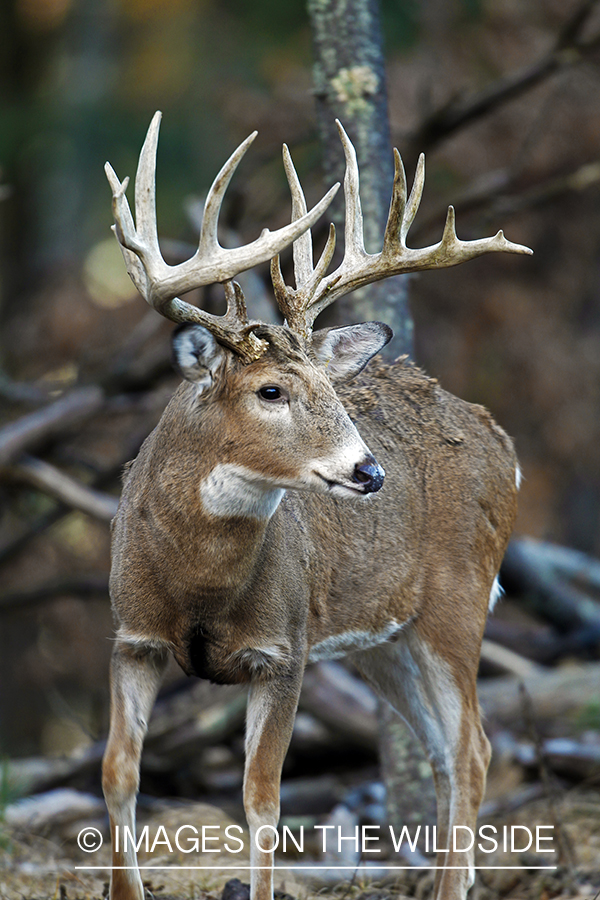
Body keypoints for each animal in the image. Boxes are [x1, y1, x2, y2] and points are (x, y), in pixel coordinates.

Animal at [102, 112, 528, 900]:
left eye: (334, 391)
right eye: (270, 390)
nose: (368, 470)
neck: (198, 581)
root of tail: (500, 439)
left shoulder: (286, 648)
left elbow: (262, 800)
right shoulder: (132, 637)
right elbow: (119, 774)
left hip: (458, 600)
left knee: (475, 748)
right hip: (386, 639)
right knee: (443, 752)